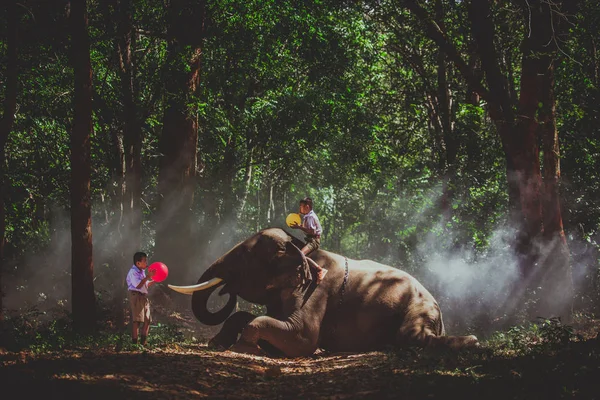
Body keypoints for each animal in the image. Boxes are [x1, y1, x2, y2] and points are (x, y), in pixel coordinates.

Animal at [169, 228, 478, 356]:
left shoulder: (316, 292)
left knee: (411, 337)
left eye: (244, 256)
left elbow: (302, 338)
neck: (298, 248)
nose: (225, 290)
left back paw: (471, 341)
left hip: (418, 308)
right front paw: (216, 344)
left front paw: (244, 348)